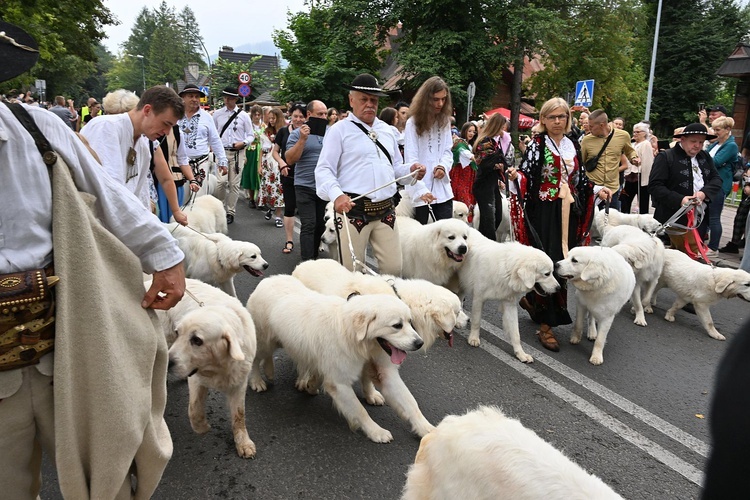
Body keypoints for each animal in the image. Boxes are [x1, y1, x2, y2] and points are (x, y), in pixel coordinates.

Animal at [154, 278, 258, 458]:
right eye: (179, 333)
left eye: (197, 340)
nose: (169, 363)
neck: (219, 366)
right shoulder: (197, 380)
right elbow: (194, 409)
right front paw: (201, 427)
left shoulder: (239, 383)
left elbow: (239, 415)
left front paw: (243, 442)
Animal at [248, 276, 434, 444]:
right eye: (397, 325)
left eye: (410, 322)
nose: (419, 343)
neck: (355, 337)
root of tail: (267, 280)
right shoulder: (340, 383)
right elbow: (360, 410)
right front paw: (376, 431)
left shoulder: (385, 372)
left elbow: (411, 403)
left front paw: (428, 429)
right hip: (264, 341)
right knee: (256, 359)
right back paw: (257, 381)